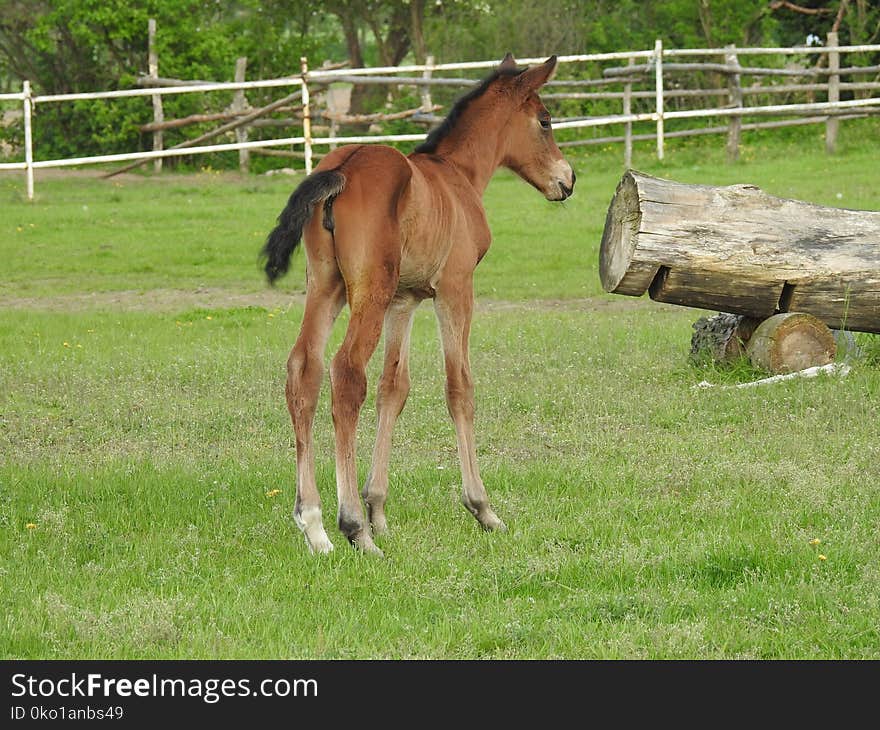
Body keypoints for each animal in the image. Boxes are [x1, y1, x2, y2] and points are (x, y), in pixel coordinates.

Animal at [262, 52, 576, 552]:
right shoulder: (455, 288)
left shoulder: (404, 301)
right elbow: (459, 387)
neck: (456, 174)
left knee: (304, 370)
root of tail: (344, 165)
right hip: (367, 292)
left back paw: (315, 525)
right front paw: (482, 509)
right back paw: (352, 527)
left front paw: (378, 509)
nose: (567, 180)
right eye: (545, 121)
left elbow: (394, 388)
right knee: (346, 374)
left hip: (326, 286)